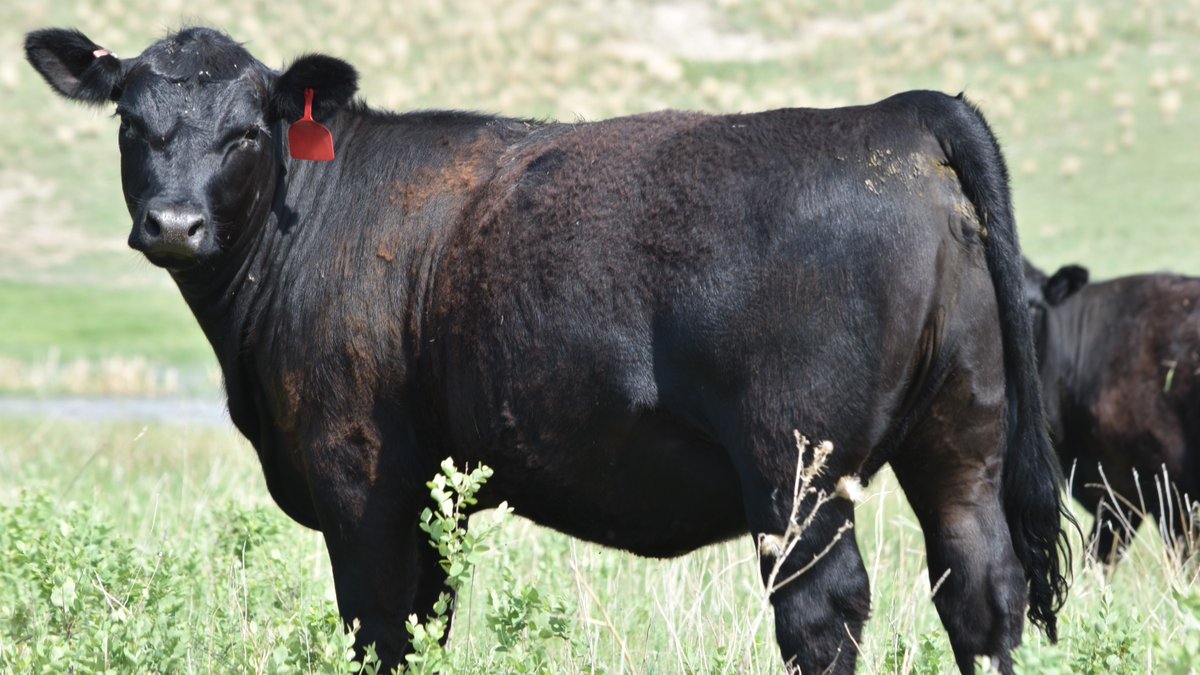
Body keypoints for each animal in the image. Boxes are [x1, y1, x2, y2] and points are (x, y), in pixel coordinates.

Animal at [26, 26, 1071, 674]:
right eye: (130, 123)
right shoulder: (430, 490)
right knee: (980, 588)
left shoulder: (357, 472)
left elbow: (380, 625)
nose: (174, 223)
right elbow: (426, 619)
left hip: (796, 469)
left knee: (824, 614)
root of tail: (900, 111)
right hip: (964, 435)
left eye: (247, 131)